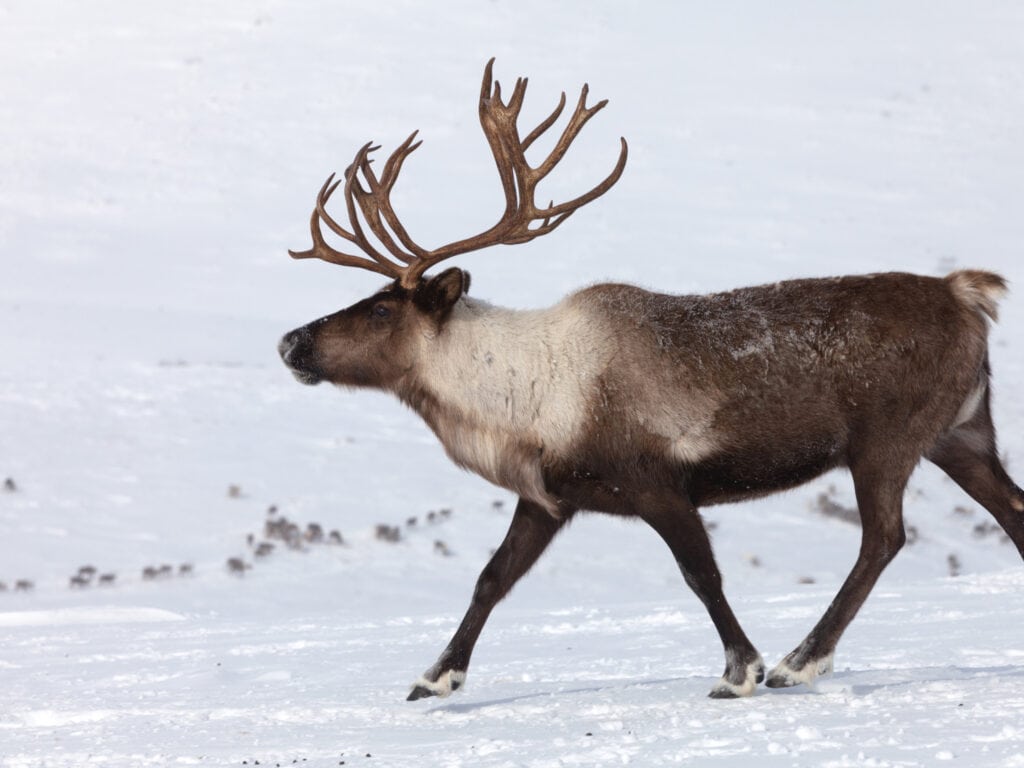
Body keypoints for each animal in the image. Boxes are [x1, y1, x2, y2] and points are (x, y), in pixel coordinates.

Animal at [279, 59, 1024, 700]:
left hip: (886, 441)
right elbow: (491, 578)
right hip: (962, 433)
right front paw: (434, 678)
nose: (290, 342)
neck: (517, 396)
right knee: (1011, 511)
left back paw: (799, 660)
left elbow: (702, 574)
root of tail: (967, 294)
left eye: (381, 310)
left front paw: (741, 670)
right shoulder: (551, 496)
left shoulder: (657, 482)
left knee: (884, 539)